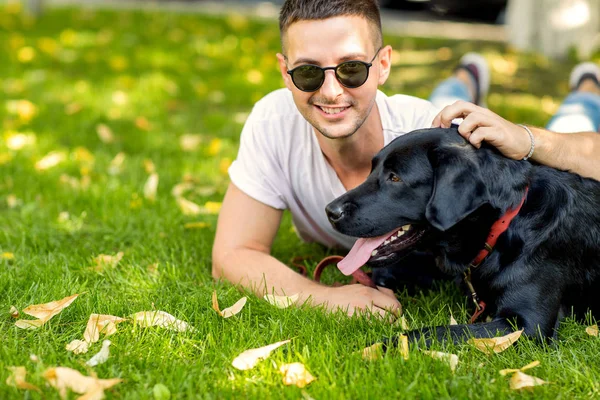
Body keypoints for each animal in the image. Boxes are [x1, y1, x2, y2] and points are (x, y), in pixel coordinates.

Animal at [326, 126, 600, 346]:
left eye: (395, 177)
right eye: (372, 170)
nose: (330, 211)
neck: (501, 227)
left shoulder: (525, 325)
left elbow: (437, 331)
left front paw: (379, 346)